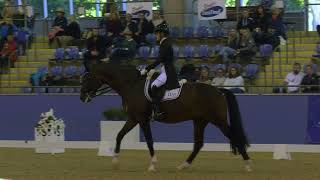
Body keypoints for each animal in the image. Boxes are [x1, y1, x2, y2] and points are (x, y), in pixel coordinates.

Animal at [80, 63, 252, 172]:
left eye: (87, 79)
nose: (82, 98)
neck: (131, 85)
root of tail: (218, 91)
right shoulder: (133, 119)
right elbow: (119, 135)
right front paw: (115, 161)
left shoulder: (142, 120)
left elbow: (149, 141)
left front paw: (152, 165)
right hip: (200, 121)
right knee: (198, 144)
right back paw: (183, 166)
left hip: (218, 121)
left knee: (234, 136)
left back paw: (248, 164)